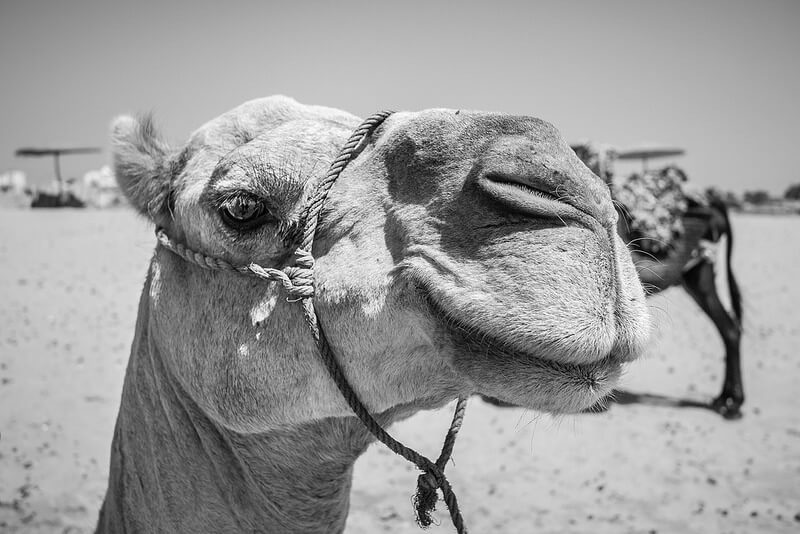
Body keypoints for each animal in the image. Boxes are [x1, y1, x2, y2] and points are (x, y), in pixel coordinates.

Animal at [572, 143, 744, 419]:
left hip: (699, 272)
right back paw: (726, 400)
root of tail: (711, 200)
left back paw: (732, 403)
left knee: (729, 327)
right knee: (729, 328)